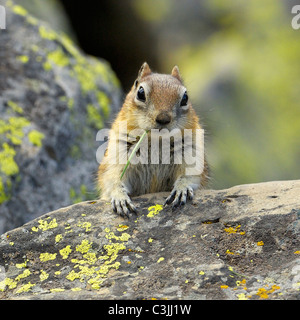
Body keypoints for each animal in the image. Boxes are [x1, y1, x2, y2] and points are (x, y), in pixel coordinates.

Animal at [98, 62, 209, 218]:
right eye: (140, 93)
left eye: (185, 98)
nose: (163, 118)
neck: (157, 141)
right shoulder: (118, 154)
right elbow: (113, 179)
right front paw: (120, 198)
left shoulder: (191, 152)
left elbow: (190, 175)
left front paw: (182, 189)